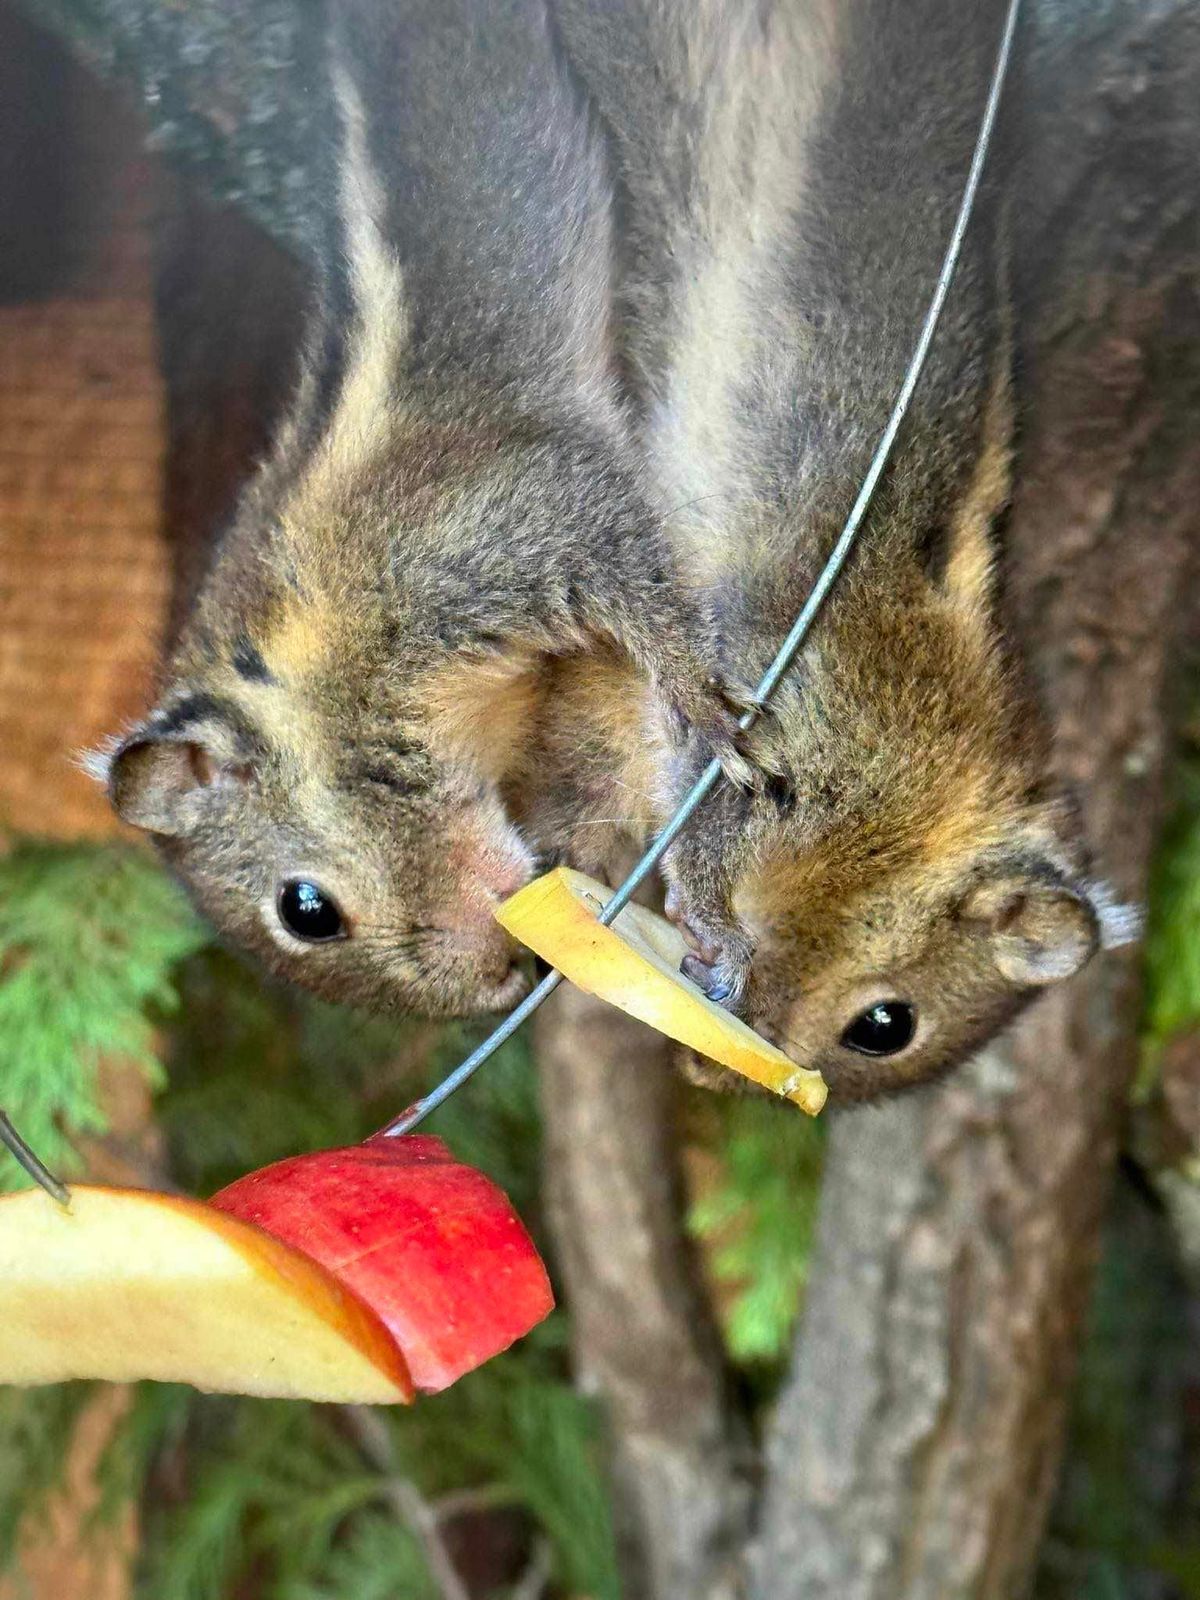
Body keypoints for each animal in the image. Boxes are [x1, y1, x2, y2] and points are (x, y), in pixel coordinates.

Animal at [540, 0, 1139, 1100]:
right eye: (885, 1026)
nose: (712, 1081)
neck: (918, 814)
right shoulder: (793, 704)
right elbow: (712, 803)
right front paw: (717, 927)